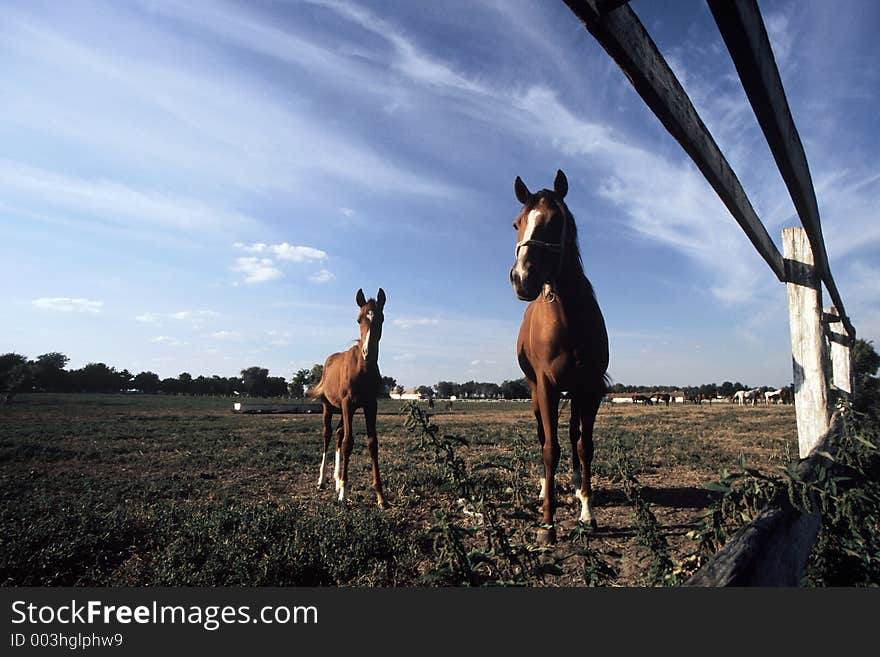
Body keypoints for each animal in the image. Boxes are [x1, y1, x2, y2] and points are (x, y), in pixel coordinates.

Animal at [312, 288, 390, 508]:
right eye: (358, 319)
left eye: (381, 318)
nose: (367, 352)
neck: (362, 370)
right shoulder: (348, 404)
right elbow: (348, 442)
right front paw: (343, 494)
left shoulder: (370, 405)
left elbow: (372, 443)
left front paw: (380, 496)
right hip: (330, 407)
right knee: (328, 434)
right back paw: (322, 481)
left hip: (344, 409)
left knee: (338, 433)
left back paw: (337, 479)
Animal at [506, 169, 608, 544]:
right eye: (517, 223)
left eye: (556, 221)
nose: (522, 278)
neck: (568, 320)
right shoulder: (547, 386)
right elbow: (550, 449)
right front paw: (547, 524)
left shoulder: (589, 388)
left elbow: (583, 446)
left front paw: (587, 511)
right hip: (536, 392)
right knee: (543, 436)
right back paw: (542, 489)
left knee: (575, 434)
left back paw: (577, 485)